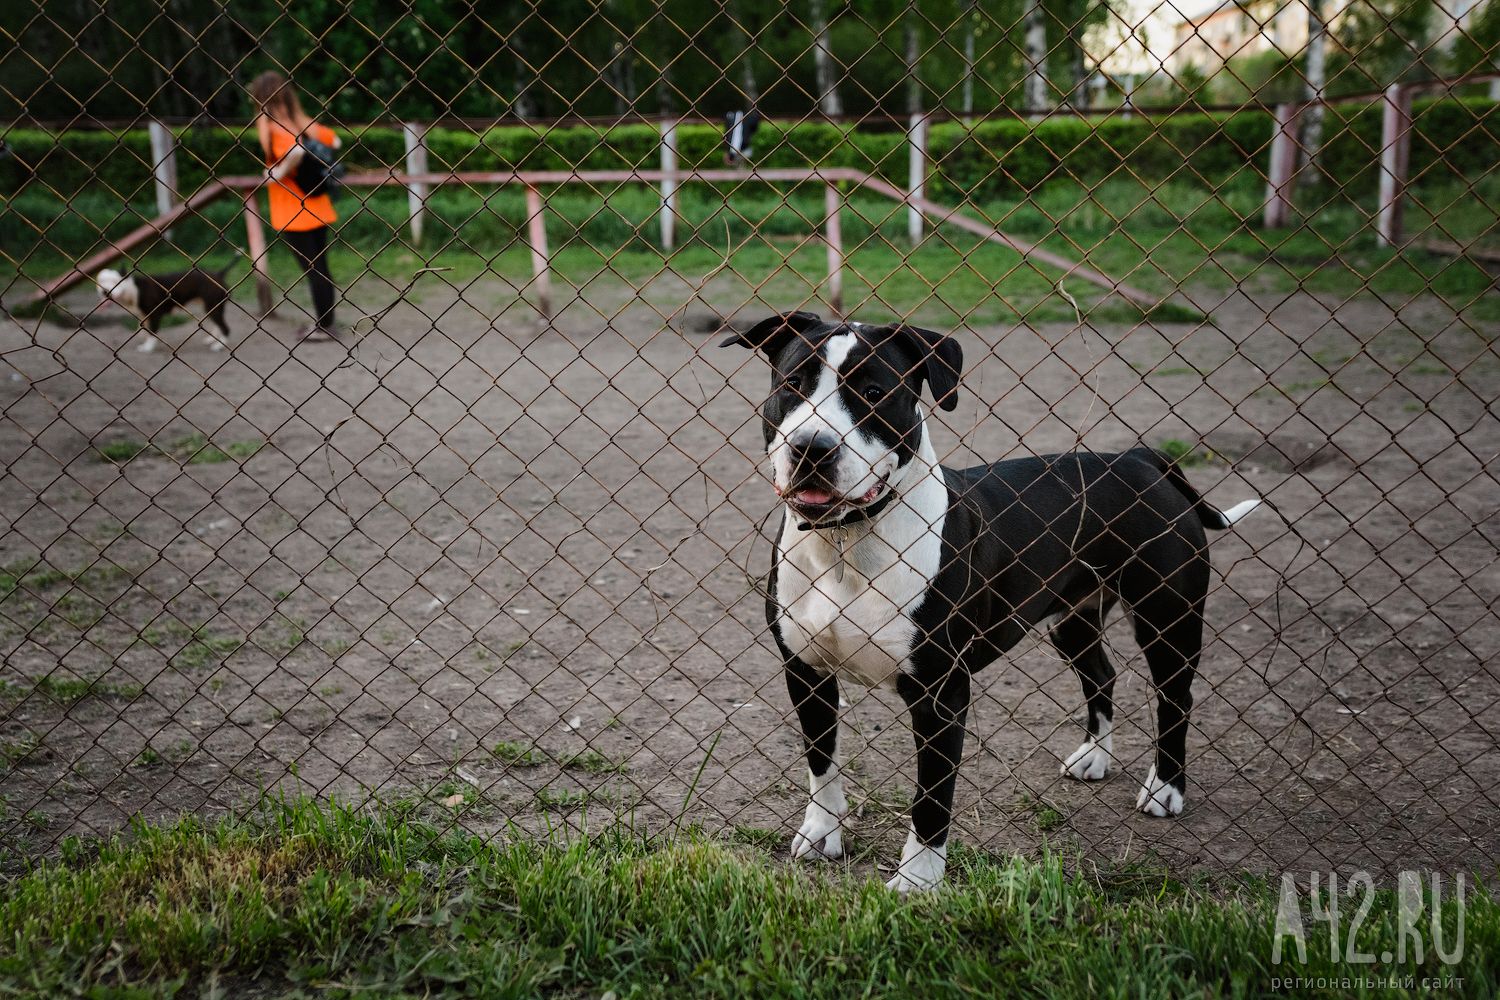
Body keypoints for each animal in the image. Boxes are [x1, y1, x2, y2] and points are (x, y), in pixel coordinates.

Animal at [96, 268, 232, 353]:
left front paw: (148, 348)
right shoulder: (144, 316)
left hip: (213, 307)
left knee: (225, 327)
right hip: (210, 308)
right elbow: (146, 330)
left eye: (115, 282)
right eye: (100, 281)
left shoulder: (155, 315)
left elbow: (152, 332)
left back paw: (220, 345)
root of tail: (218, 274)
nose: (104, 290)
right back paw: (213, 339)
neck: (134, 289)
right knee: (217, 325)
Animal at [723, 313, 1254, 893]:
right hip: (1072, 618)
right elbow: (821, 762)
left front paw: (918, 880)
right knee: (1101, 674)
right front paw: (822, 834)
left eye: (873, 392)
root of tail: (1140, 458)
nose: (812, 447)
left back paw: (1166, 788)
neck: (845, 544)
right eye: (792, 385)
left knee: (1175, 697)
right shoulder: (807, 672)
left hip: (1167, 619)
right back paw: (1094, 757)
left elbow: (931, 796)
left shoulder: (940, 695)